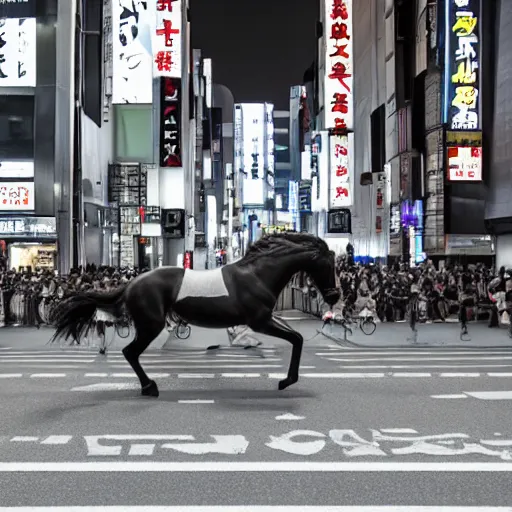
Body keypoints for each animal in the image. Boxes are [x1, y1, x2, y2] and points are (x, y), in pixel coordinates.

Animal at [50, 232, 340, 396]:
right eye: (328, 264)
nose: (335, 297)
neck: (258, 275)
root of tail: (131, 284)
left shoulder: (265, 319)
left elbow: (295, 338)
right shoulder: (261, 320)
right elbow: (297, 339)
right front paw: (286, 381)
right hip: (151, 324)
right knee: (130, 352)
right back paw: (149, 387)